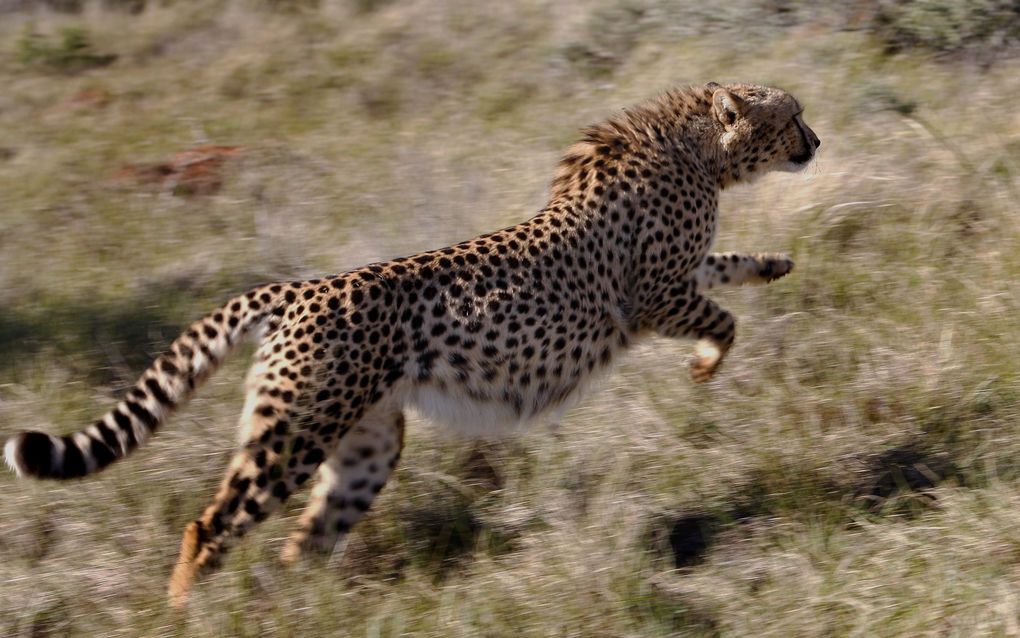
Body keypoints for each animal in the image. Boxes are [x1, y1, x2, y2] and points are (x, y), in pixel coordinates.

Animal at [3, 82, 820, 604]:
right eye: (793, 116)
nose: (816, 140)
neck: (694, 145)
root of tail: (297, 289)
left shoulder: (678, 277)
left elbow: (726, 264)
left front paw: (772, 263)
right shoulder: (649, 298)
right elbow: (722, 320)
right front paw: (707, 365)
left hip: (367, 443)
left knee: (307, 540)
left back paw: (306, 612)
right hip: (295, 432)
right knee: (212, 524)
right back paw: (185, 613)